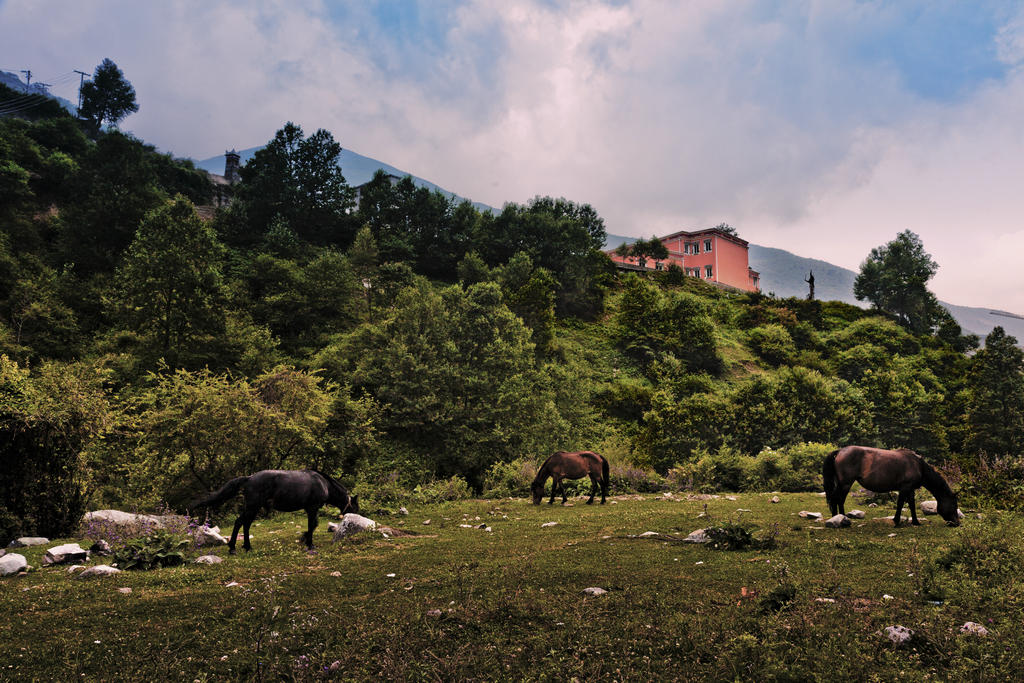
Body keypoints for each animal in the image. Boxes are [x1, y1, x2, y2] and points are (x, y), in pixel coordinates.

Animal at [193, 471, 358, 557]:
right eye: (356, 507)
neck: (323, 484)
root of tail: (249, 478)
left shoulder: (310, 509)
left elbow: (313, 525)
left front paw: (304, 539)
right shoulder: (312, 508)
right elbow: (313, 525)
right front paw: (309, 543)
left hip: (253, 508)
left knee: (245, 524)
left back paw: (247, 546)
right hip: (252, 507)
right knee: (240, 522)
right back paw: (233, 548)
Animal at [823, 448, 958, 528]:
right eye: (953, 505)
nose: (957, 523)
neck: (918, 465)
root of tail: (840, 451)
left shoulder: (910, 489)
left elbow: (912, 505)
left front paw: (915, 522)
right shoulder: (905, 488)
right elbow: (900, 504)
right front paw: (896, 521)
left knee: (836, 499)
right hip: (845, 484)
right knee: (838, 500)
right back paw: (841, 519)